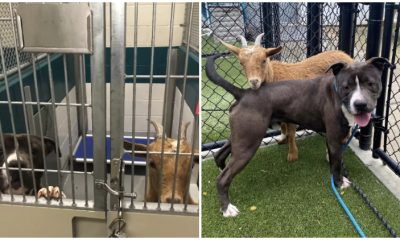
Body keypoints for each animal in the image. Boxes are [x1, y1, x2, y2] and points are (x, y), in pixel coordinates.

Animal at [206, 53, 390, 218]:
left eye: (371, 84)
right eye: (346, 87)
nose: (361, 104)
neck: (336, 92)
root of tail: (243, 93)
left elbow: (334, 159)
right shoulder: (334, 138)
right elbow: (336, 164)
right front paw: (338, 183)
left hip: (241, 137)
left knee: (220, 154)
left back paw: (221, 168)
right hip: (248, 143)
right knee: (223, 178)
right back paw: (227, 209)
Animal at [217, 33, 354, 163]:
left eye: (264, 60)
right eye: (241, 63)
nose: (254, 81)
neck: (274, 76)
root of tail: (347, 56)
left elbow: (291, 132)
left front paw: (292, 155)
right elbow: (283, 127)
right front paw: (283, 140)